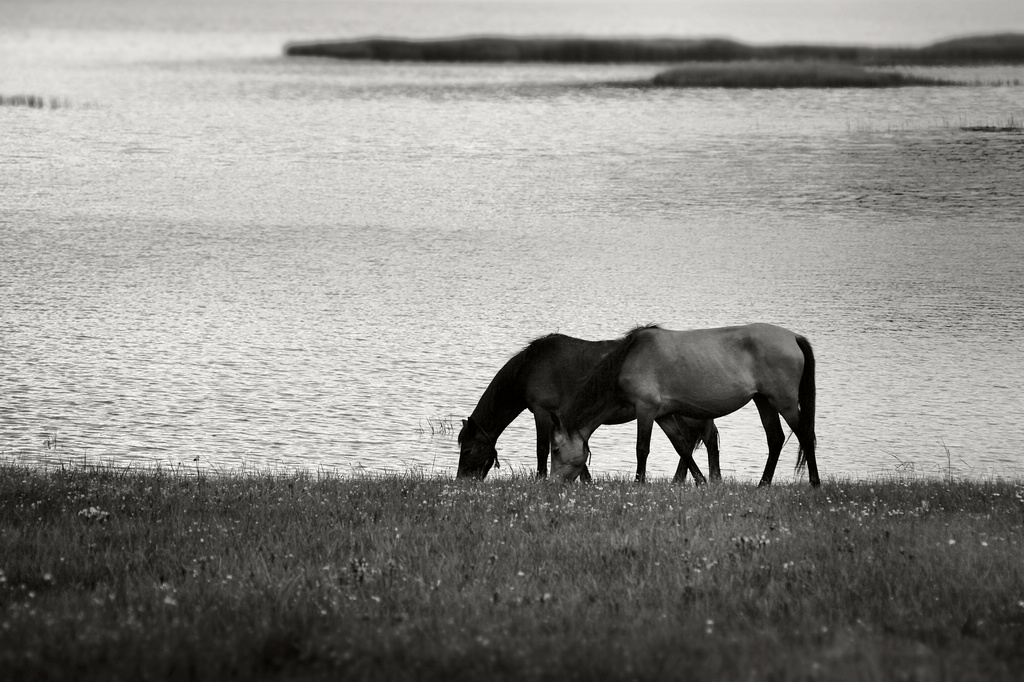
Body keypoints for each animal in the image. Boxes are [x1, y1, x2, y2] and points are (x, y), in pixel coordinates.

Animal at [456, 331, 720, 481]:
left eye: (467, 450)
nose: (461, 481)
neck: (530, 368)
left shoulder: (543, 413)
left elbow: (542, 450)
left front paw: (541, 479)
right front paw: (584, 481)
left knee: (700, 439)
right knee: (693, 441)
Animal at [548, 323, 819, 485]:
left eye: (556, 450)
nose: (551, 484)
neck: (628, 359)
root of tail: (794, 337)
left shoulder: (645, 409)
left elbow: (642, 448)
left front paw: (638, 483)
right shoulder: (663, 415)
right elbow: (682, 448)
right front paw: (702, 482)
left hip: (784, 401)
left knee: (804, 434)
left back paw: (814, 483)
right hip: (764, 400)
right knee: (775, 438)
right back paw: (763, 484)